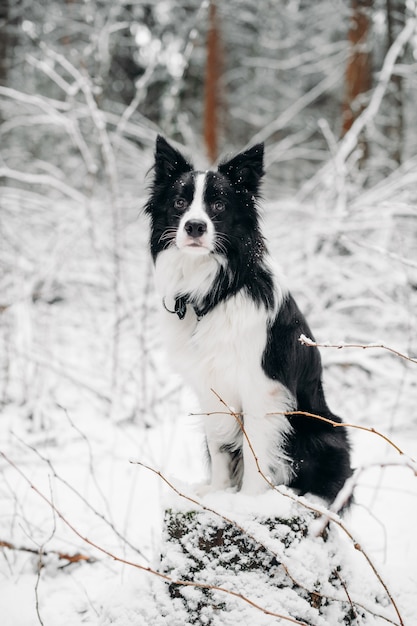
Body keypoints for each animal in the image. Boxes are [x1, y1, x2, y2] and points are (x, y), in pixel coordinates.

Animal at [145, 135, 350, 502]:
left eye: (219, 206)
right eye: (180, 202)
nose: (194, 226)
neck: (213, 293)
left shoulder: (262, 389)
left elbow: (257, 453)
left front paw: (248, 502)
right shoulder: (210, 388)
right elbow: (220, 448)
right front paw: (218, 494)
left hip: (323, 432)